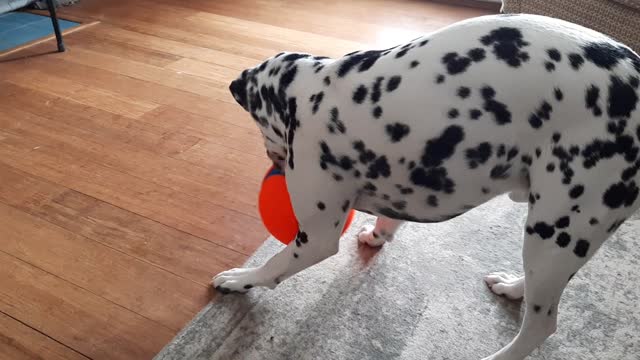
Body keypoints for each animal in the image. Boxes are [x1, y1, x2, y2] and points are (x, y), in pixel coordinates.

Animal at [211, 13, 640, 360]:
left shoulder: (316, 238)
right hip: (555, 246)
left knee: (542, 324)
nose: (274, 164)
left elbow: (273, 264)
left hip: (555, 233)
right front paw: (379, 233)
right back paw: (513, 286)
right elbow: (391, 216)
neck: (314, 91)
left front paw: (240, 279)